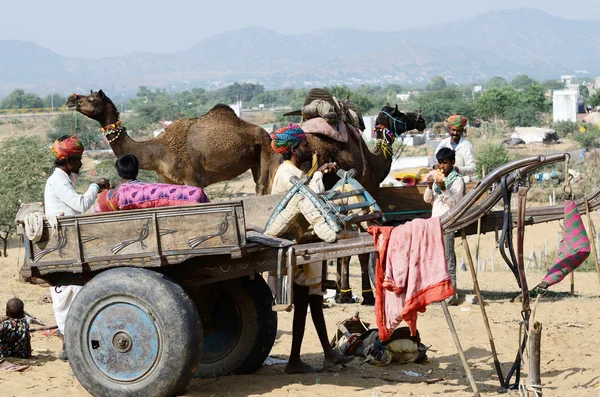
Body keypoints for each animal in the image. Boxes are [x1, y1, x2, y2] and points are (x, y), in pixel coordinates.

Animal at [64, 90, 280, 195]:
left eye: (91, 99)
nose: (70, 100)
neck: (157, 152)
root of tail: (267, 133)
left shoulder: (193, 179)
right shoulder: (167, 180)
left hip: (266, 149)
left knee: (263, 187)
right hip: (254, 160)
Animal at [308, 105, 428, 304]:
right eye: (400, 114)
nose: (421, 120)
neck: (375, 164)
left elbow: (342, 252)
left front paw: (342, 293)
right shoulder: (363, 205)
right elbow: (360, 252)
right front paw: (365, 294)